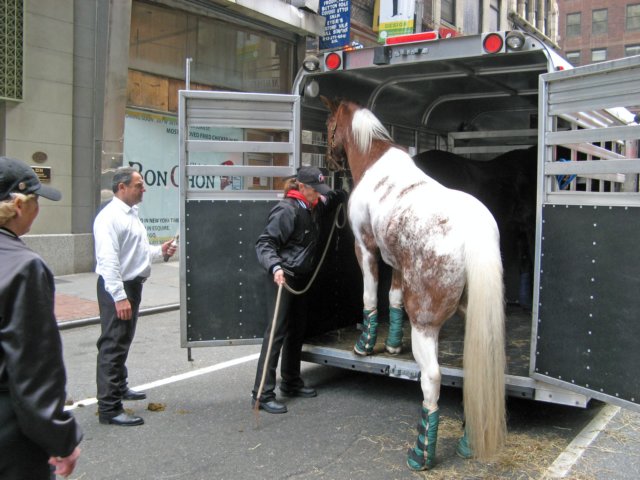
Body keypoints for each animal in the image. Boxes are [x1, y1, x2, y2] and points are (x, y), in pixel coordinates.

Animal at [322, 96, 508, 468]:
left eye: (329, 125)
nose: (327, 159)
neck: (375, 162)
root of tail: (473, 231)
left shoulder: (365, 248)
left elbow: (369, 297)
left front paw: (365, 346)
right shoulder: (395, 262)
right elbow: (393, 299)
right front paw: (393, 346)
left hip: (425, 324)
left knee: (432, 378)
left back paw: (421, 453)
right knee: (477, 375)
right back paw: (468, 442)